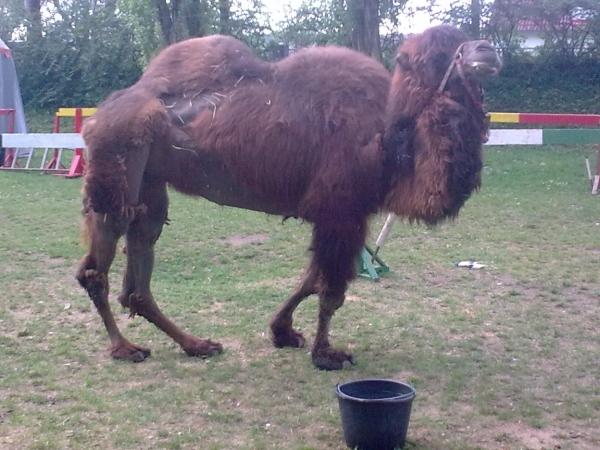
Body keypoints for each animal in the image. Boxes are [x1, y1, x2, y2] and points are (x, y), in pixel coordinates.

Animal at [76, 25, 501, 370]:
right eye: (437, 56)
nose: (487, 50)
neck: (388, 141)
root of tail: (100, 113)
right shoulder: (341, 210)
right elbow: (330, 289)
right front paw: (326, 355)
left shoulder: (339, 216)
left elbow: (311, 279)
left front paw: (283, 332)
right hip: (115, 167)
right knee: (97, 266)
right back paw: (125, 348)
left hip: (150, 180)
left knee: (139, 268)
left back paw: (196, 344)